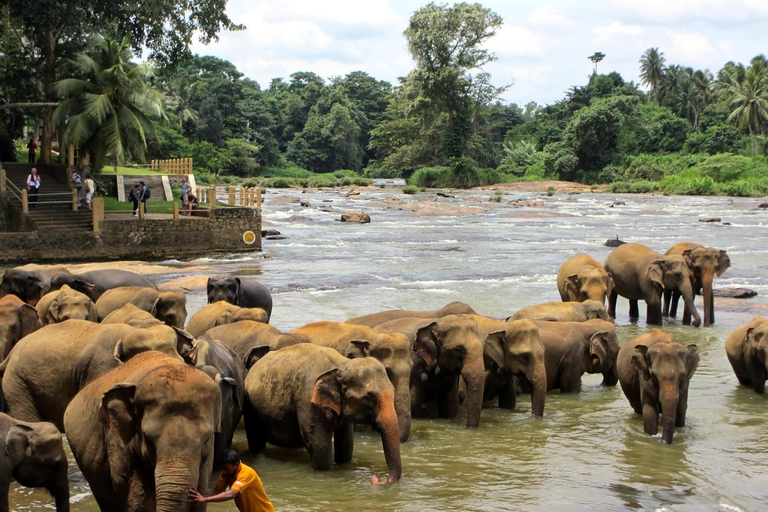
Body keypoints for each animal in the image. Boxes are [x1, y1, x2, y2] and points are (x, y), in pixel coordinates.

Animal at [244, 344, 402, 484]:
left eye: (393, 391)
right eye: (369, 397)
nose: (375, 479)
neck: (342, 364)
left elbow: (346, 443)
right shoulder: (308, 400)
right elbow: (318, 444)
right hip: (249, 406)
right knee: (256, 440)